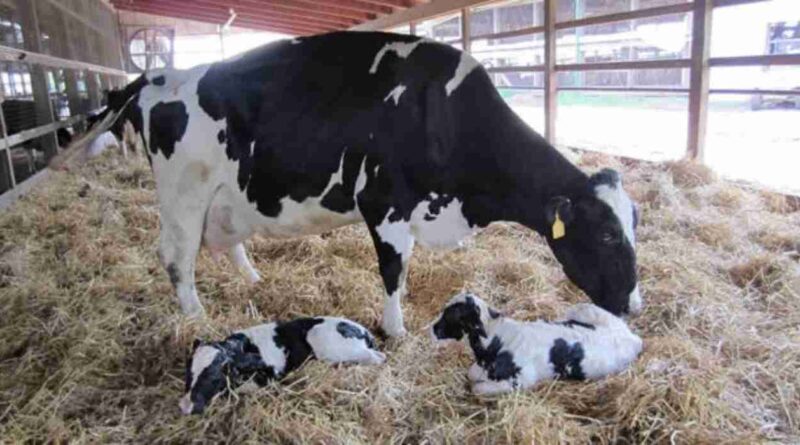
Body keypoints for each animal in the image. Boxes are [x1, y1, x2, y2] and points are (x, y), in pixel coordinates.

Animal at [67, 31, 644, 336]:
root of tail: (158, 76)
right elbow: (393, 272)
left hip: (224, 198)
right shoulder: (385, 205)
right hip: (184, 195)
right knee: (176, 257)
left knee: (223, 242)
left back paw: (252, 279)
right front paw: (397, 329)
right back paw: (197, 317)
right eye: (608, 234)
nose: (634, 306)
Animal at [180, 316, 384, 412]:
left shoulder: (271, 377)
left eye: (215, 377)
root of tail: (364, 330)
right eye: (188, 373)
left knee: (378, 357)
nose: (185, 406)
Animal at [428, 294, 640, 394]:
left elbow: (477, 388)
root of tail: (632, 337)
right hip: (583, 309)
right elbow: (471, 374)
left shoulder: (522, 379)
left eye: (451, 315)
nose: (434, 328)